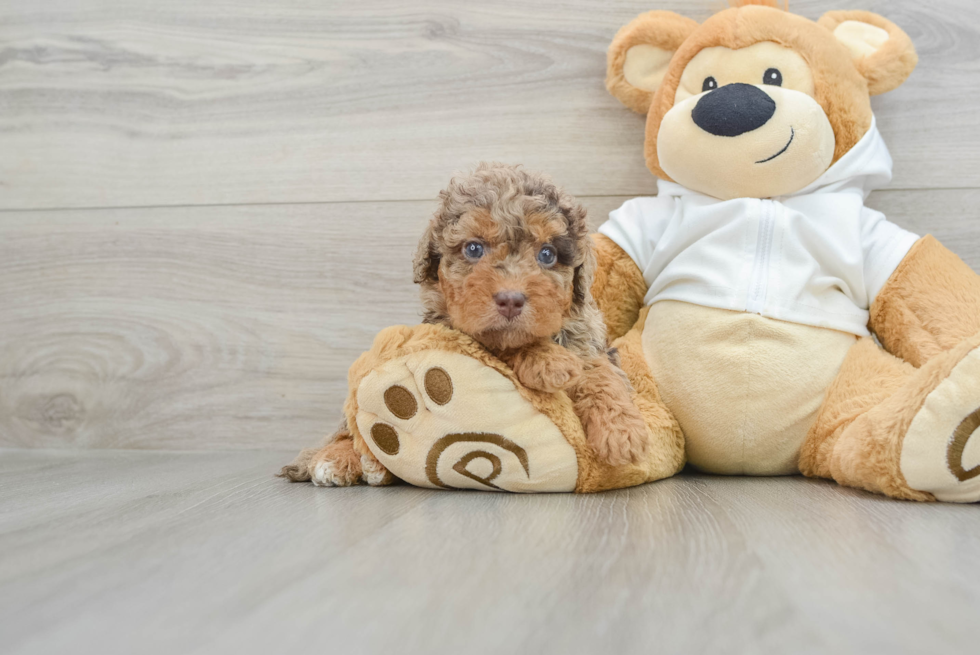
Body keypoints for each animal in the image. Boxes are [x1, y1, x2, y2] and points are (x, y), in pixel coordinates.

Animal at [282, 164, 652, 486]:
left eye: (547, 254)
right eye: (474, 248)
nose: (510, 299)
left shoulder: (588, 340)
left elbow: (601, 375)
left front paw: (623, 433)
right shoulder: (456, 331)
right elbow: (501, 347)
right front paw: (548, 361)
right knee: (347, 430)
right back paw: (332, 459)